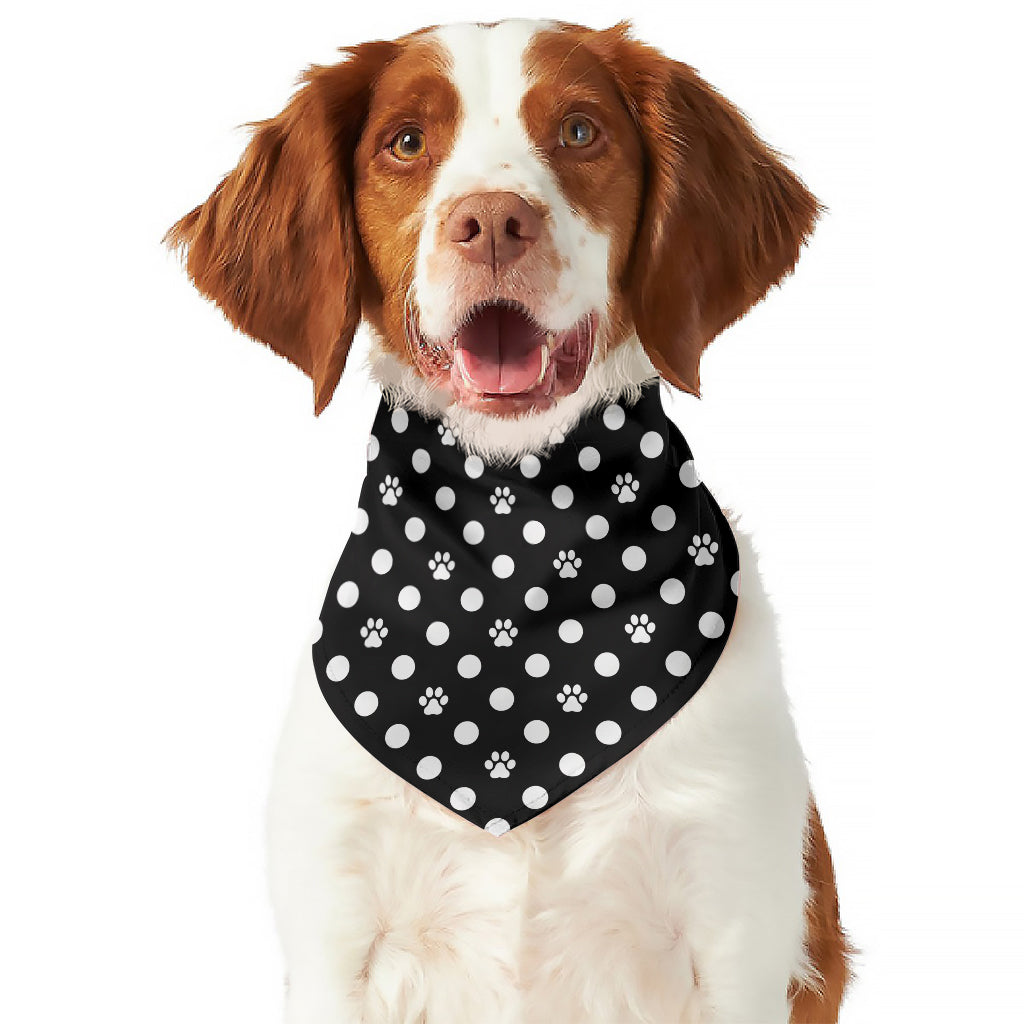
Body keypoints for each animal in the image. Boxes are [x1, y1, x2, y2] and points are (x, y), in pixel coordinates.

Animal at [167, 16, 851, 1024]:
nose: (492, 221)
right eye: (406, 142)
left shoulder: (737, 923)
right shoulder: (336, 930)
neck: (519, 519)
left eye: (579, 131)